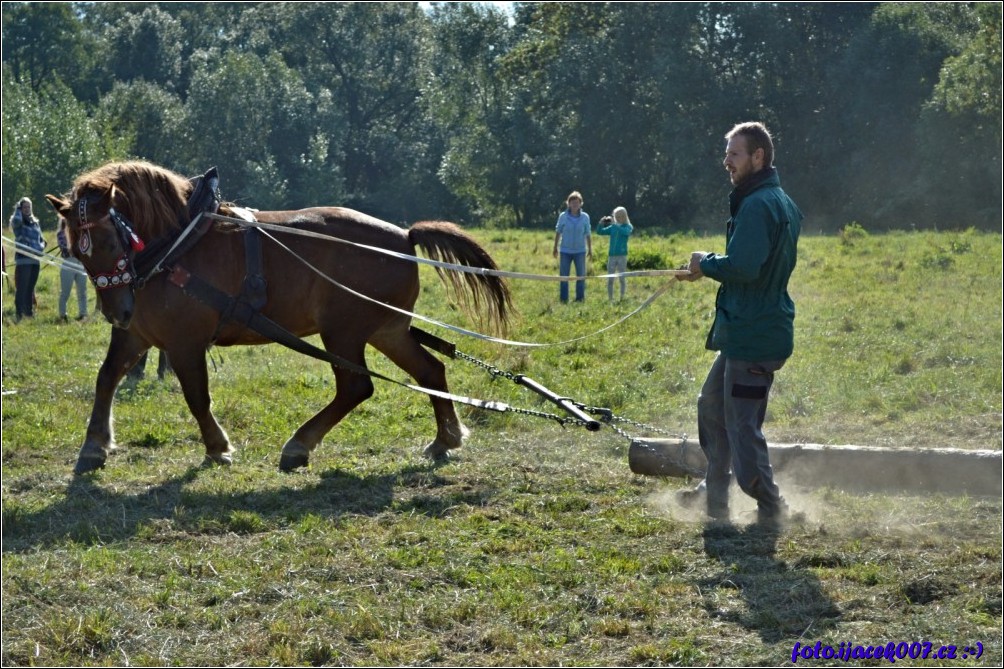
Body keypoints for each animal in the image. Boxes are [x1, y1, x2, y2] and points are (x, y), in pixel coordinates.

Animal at [45, 160, 510, 474]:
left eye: (109, 240)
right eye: (77, 249)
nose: (117, 310)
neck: (178, 244)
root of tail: (404, 237)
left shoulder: (184, 341)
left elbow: (197, 397)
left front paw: (217, 446)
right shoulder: (137, 335)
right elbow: (107, 377)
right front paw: (94, 445)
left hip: (344, 333)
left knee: (356, 387)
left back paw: (300, 445)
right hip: (386, 329)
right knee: (430, 371)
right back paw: (445, 439)